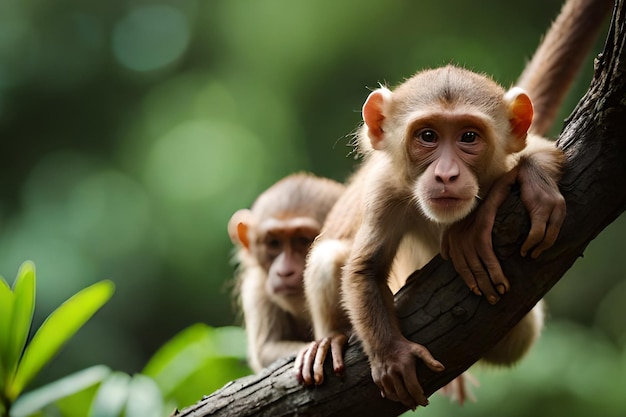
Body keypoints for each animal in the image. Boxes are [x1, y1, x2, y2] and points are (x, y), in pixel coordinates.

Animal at [294, 0, 608, 408]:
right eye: (428, 136)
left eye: (468, 137)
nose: (446, 174)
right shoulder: (384, 189)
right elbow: (364, 269)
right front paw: (393, 356)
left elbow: (543, 149)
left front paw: (533, 181)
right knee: (330, 255)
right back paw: (331, 339)